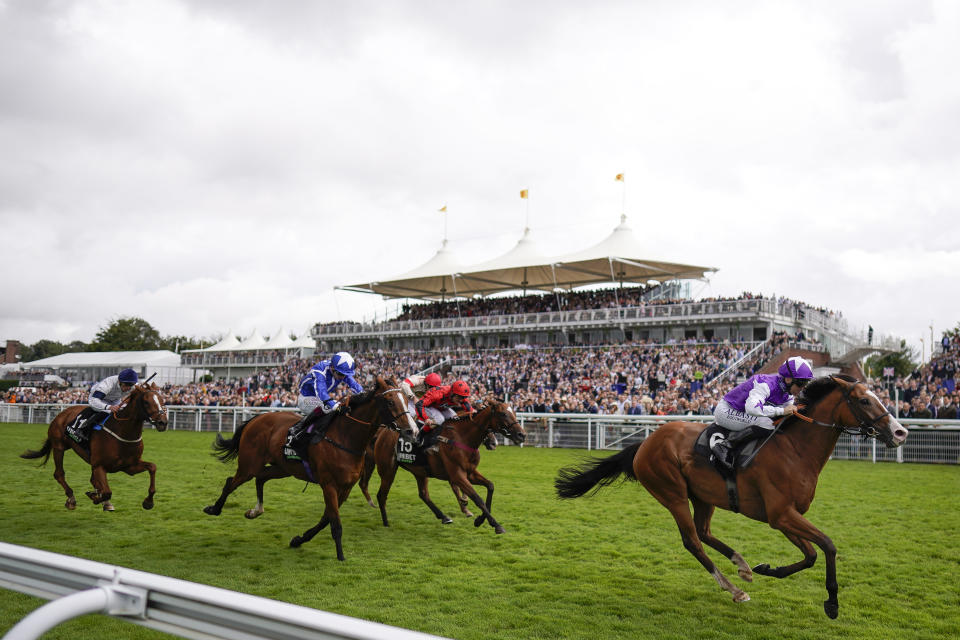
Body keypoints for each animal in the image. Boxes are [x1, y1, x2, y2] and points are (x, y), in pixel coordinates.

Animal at [19, 382, 169, 512]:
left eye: (162, 400)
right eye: (146, 402)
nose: (163, 422)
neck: (122, 432)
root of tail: (63, 413)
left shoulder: (129, 467)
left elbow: (153, 467)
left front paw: (148, 502)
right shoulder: (99, 466)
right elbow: (107, 492)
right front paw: (95, 496)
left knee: (91, 479)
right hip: (59, 447)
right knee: (59, 474)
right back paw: (71, 499)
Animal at [202, 376, 416, 560]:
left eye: (407, 399)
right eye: (390, 402)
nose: (411, 431)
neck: (345, 437)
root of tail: (256, 419)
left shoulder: (345, 488)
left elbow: (326, 519)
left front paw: (298, 540)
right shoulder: (328, 484)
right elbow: (335, 523)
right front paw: (340, 556)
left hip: (282, 468)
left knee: (260, 478)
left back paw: (255, 511)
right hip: (250, 465)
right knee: (231, 482)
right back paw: (214, 508)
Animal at [556, 376, 908, 620]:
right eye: (864, 401)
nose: (900, 432)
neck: (795, 450)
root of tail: (644, 444)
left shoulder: (784, 517)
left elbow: (810, 555)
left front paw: (766, 568)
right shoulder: (781, 515)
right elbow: (828, 546)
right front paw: (832, 604)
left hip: (703, 496)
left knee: (703, 532)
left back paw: (743, 566)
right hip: (671, 494)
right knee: (692, 542)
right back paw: (734, 589)